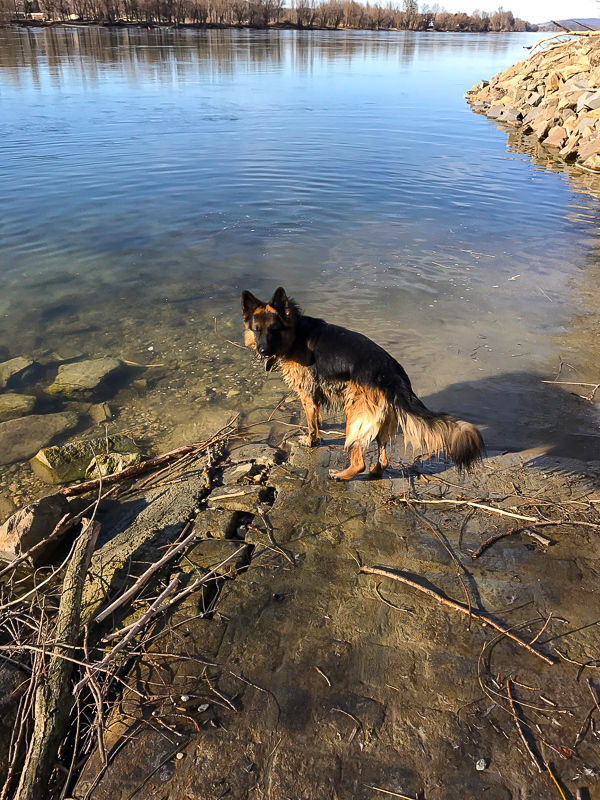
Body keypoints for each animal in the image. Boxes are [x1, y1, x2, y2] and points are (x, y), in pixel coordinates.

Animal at [243, 290, 482, 482]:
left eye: (274, 329)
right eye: (257, 329)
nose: (263, 350)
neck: (295, 333)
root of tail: (391, 374)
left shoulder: (307, 395)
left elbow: (312, 424)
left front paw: (310, 441)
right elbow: (317, 419)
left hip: (356, 416)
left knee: (359, 461)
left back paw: (341, 475)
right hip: (382, 421)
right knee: (384, 458)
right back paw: (375, 472)